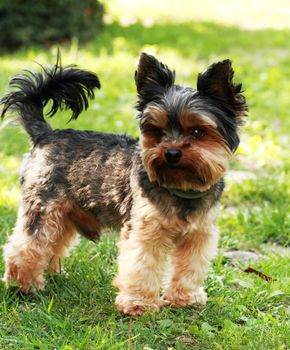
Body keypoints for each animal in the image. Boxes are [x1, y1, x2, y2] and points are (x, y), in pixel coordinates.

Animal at [0, 52, 247, 318]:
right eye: (157, 130)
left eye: (198, 132)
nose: (171, 153)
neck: (181, 187)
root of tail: (45, 134)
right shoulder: (145, 232)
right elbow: (142, 267)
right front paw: (139, 304)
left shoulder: (198, 235)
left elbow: (189, 268)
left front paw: (185, 298)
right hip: (43, 207)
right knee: (26, 245)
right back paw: (23, 286)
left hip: (64, 213)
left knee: (53, 242)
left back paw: (52, 275)